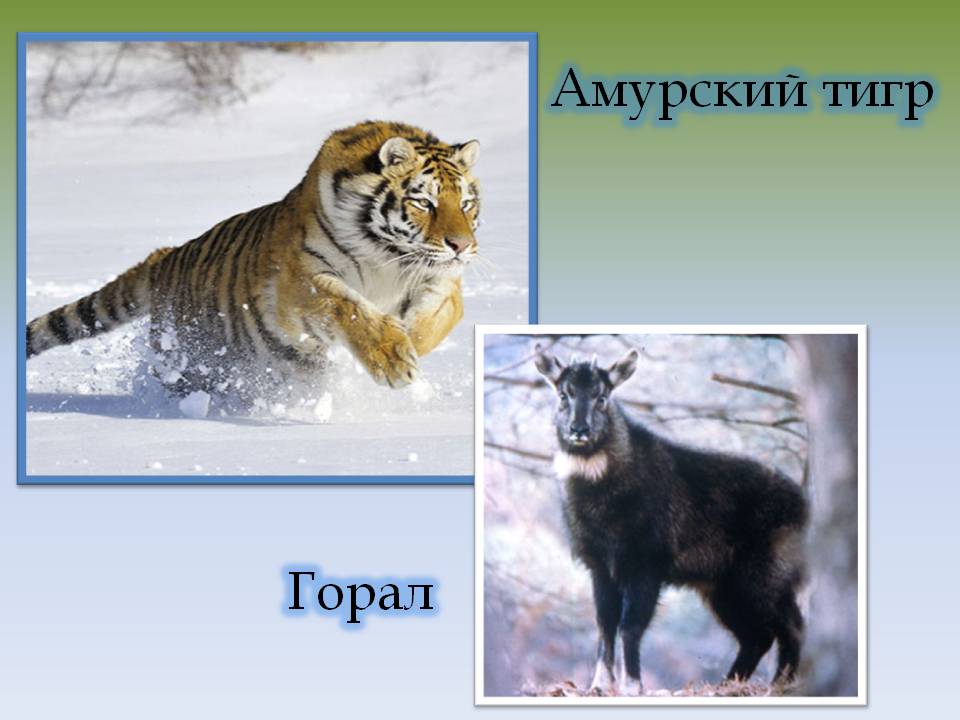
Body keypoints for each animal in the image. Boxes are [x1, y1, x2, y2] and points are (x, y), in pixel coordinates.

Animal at [26, 120, 481, 400]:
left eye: (466, 203)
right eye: (424, 202)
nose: (461, 245)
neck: (387, 258)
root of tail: (164, 257)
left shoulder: (441, 281)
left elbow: (434, 317)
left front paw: (410, 344)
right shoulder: (302, 280)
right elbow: (348, 307)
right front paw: (393, 359)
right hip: (189, 360)